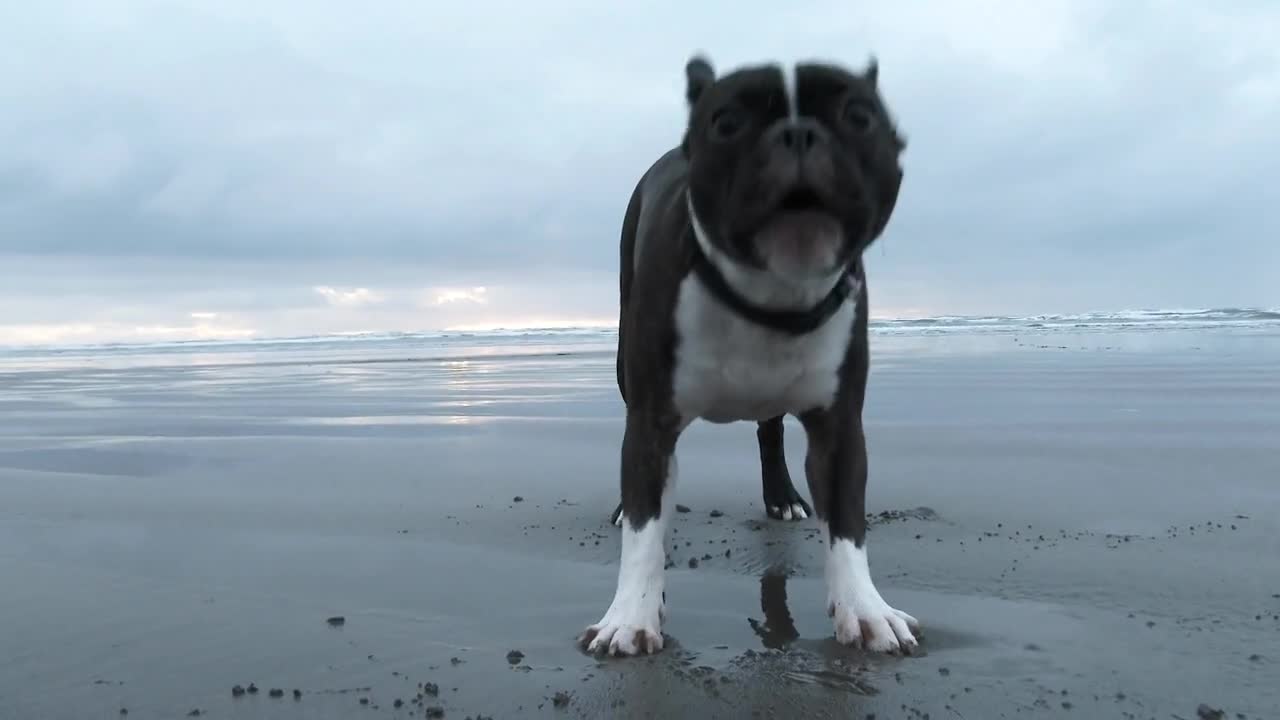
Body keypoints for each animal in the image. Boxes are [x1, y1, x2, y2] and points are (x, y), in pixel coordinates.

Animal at [581, 53, 921, 653]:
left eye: (858, 116)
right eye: (728, 123)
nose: (798, 132)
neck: (767, 294)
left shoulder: (840, 428)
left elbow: (848, 523)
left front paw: (866, 608)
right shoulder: (650, 421)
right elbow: (646, 525)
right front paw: (631, 616)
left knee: (770, 429)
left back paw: (782, 496)